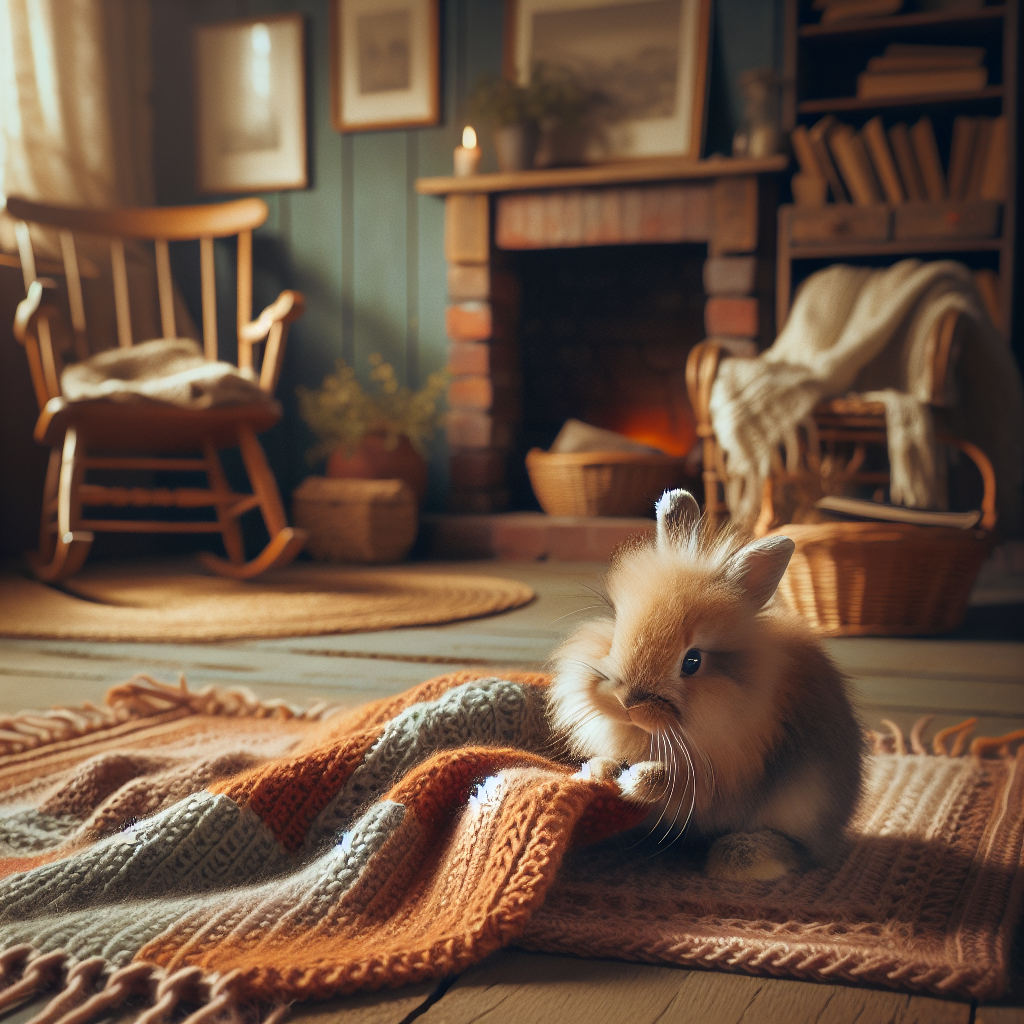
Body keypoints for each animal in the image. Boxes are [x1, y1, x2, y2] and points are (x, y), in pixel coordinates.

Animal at [548, 487, 860, 880]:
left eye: (692, 661)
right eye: (617, 628)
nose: (626, 704)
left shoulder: (717, 780)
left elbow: (674, 785)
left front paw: (636, 780)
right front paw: (599, 770)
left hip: (805, 805)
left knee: (802, 852)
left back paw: (739, 857)